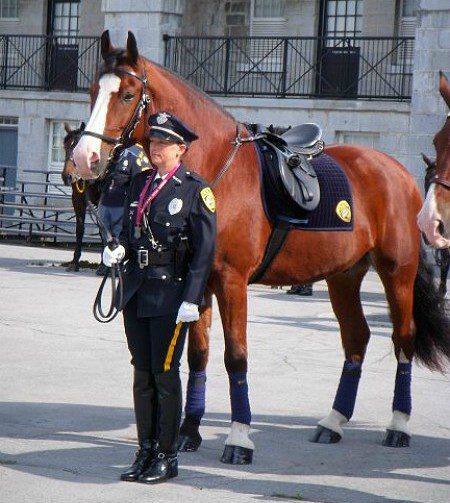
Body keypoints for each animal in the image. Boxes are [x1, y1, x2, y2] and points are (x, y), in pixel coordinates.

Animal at [72, 30, 448, 464]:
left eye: (128, 94)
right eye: (92, 90)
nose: (84, 159)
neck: (217, 172)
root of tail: (397, 170)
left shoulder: (231, 283)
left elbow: (235, 356)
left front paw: (238, 439)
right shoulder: (197, 282)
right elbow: (198, 355)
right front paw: (189, 432)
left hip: (396, 273)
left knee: (403, 338)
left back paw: (398, 425)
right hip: (343, 276)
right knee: (357, 338)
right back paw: (333, 421)